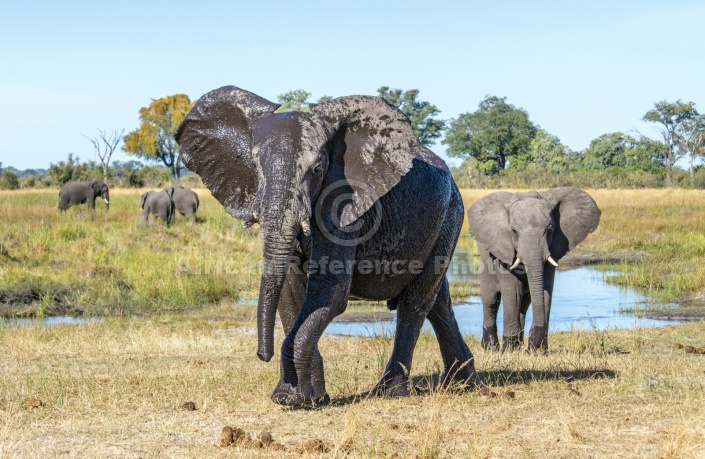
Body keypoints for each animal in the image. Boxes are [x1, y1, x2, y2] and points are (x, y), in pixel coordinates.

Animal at [176, 85, 482, 406]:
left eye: (317, 168)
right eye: (256, 166)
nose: (262, 354)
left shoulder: (343, 204)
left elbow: (330, 292)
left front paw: (291, 399)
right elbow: (290, 291)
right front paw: (303, 397)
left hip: (451, 214)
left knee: (415, 303)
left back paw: (390, 391)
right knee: (439, 300)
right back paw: (464, 384)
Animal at [468, 189, 600, 354]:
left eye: (550, 230)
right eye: (514, 231)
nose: (530, 348)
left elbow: (545, 291)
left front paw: (538, 352)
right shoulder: (504, 252)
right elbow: (512, 292)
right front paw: (509, 352)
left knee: (524, 303)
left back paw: (517, 346)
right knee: (491, 300)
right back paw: (491, 348)